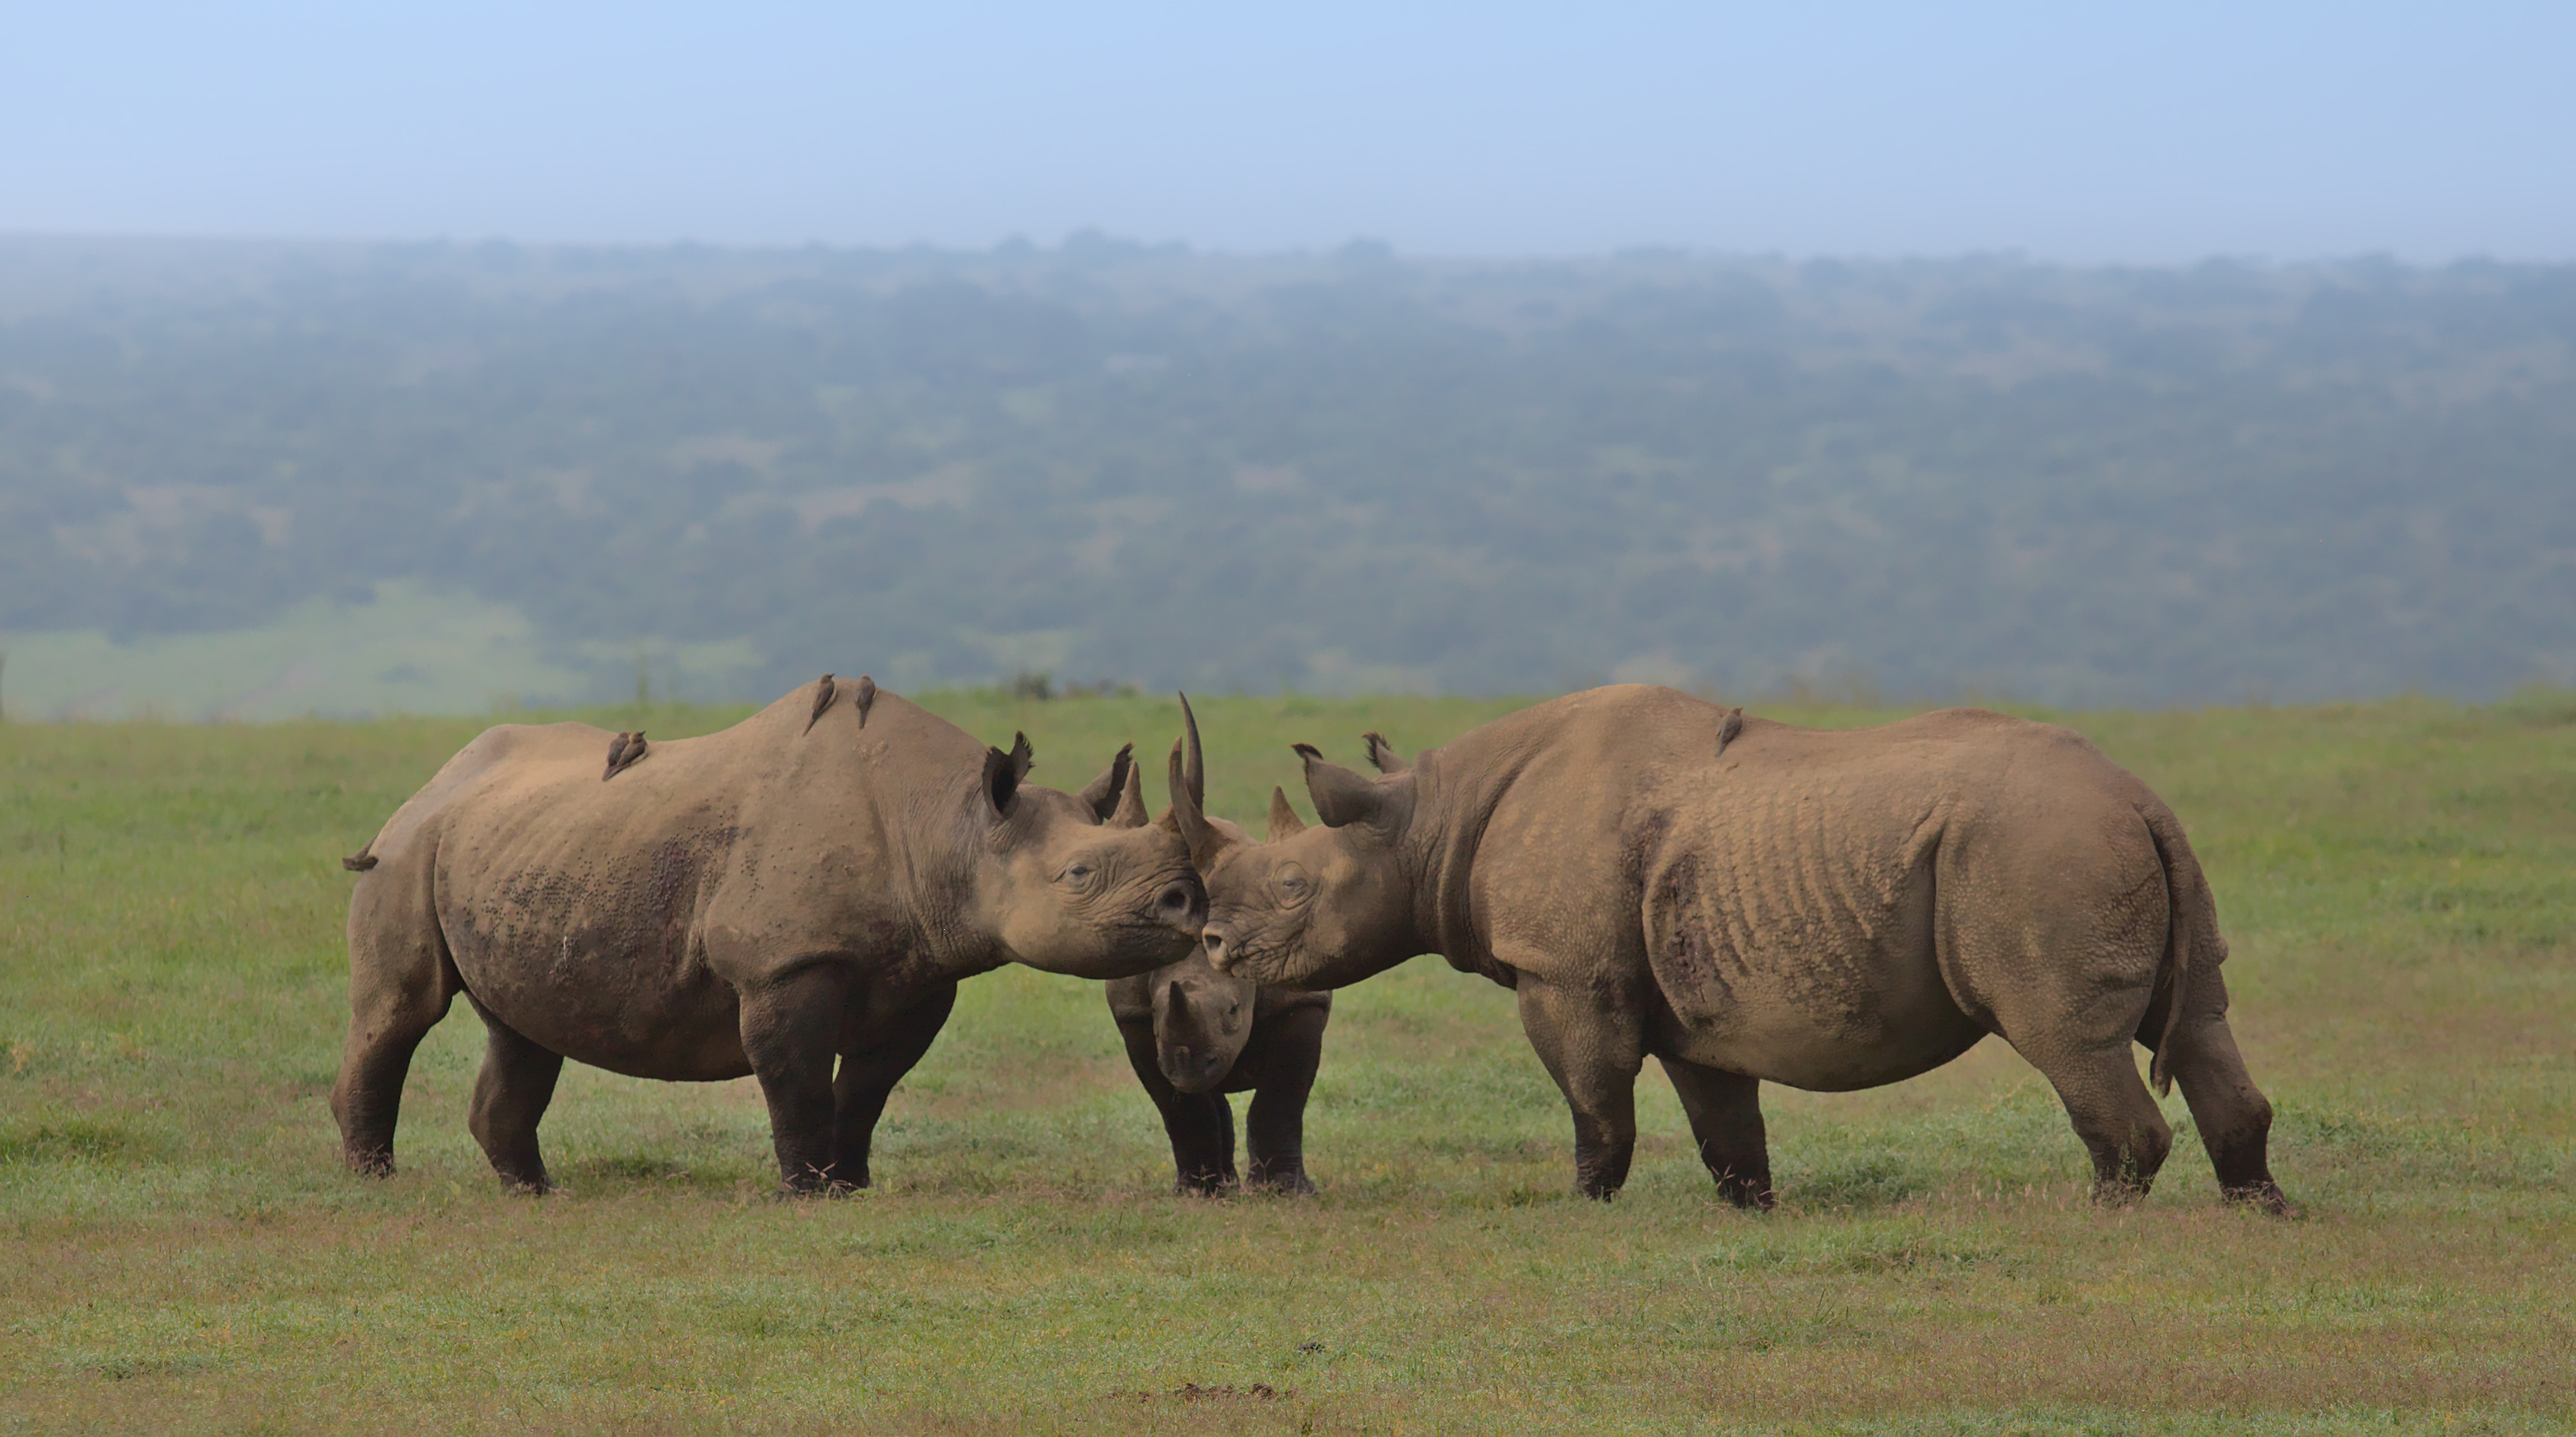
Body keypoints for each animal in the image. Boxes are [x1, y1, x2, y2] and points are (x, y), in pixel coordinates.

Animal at [332, 677, 1207, 1194]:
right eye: (1079, 876)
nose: (1189, 900)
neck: (952, 824)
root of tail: (436, 782)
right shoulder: (783, 964)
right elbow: (796, 1079)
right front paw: (805, 1191)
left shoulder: (922, 974)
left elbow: (865, 1089)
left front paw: (850, 1186)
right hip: (409, 848)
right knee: (403, 1010)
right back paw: (375, 1181)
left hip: (519, 849)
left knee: (521, 1029)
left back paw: (534, 1192)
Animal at [1103, 752, 1331, 1195]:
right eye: (1154, 1013)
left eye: (1233, 1011)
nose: (1188, 1067)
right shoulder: (1133, 1017)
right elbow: (1184, 1109)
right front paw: (1197, 1193)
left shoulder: (1302, 1001)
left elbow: (1281, 1098)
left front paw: (1284, 1192)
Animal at [1173, 686, 2288, 1212]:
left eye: (1291, 889)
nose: (1215, 943)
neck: (1423, 824)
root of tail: (2137, 797)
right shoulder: (1692, 1005)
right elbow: (1723, 1129)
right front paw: (1752, 1211)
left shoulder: (1563, 973)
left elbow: (1594, 1103)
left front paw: (1582, 1207)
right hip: (2113, 845)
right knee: (2198, 1024)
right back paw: (2260, 1212)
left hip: (2035, 852)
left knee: (2066, 1041)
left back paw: (2099, 1216)